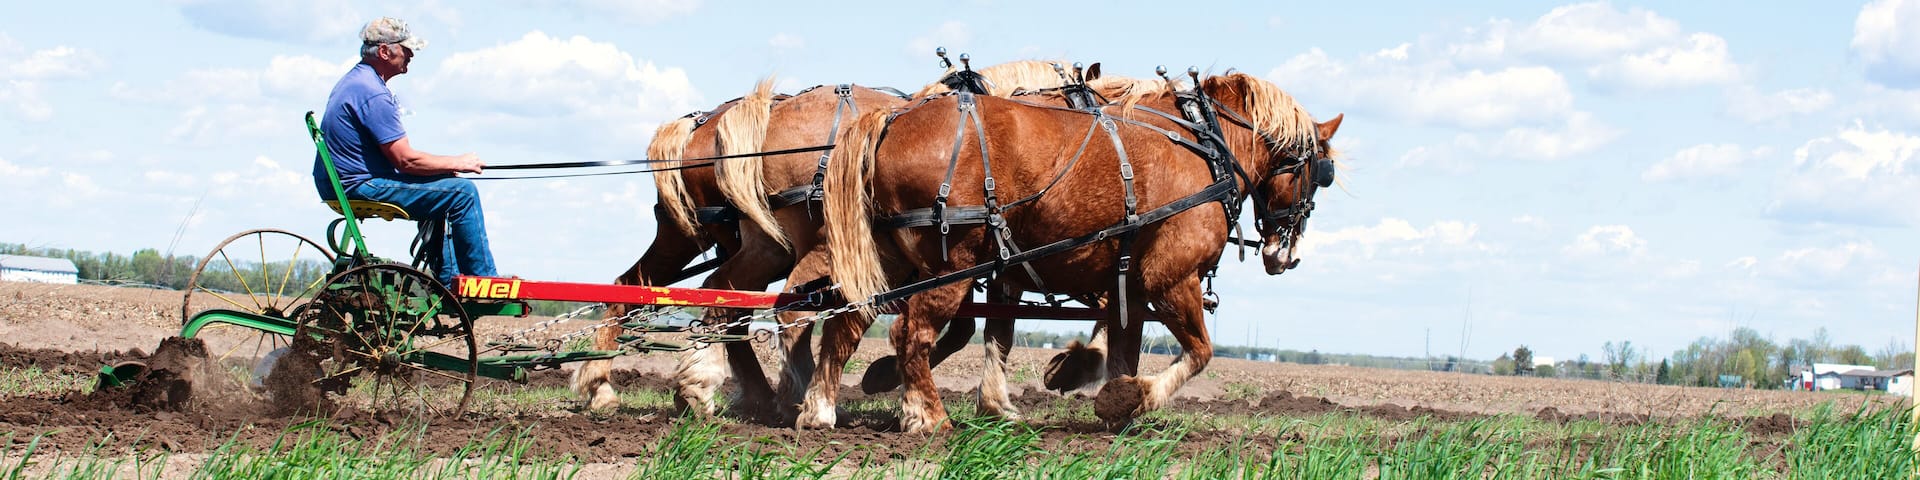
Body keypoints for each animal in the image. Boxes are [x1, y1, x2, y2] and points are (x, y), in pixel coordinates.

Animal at [823, 71, 1342, 432]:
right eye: (1321, 172)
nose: (1284, 255)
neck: (1203, 145)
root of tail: (891, 120)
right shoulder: (1171, 277)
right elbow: (1200, 351)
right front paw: (1129, 398)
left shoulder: (1126, 286)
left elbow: (1120, 350)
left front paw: (1112, 401)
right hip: (954, 264)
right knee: (913, 335)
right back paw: (928, 418)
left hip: (886, 261)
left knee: (850, 323)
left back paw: (821, 409)